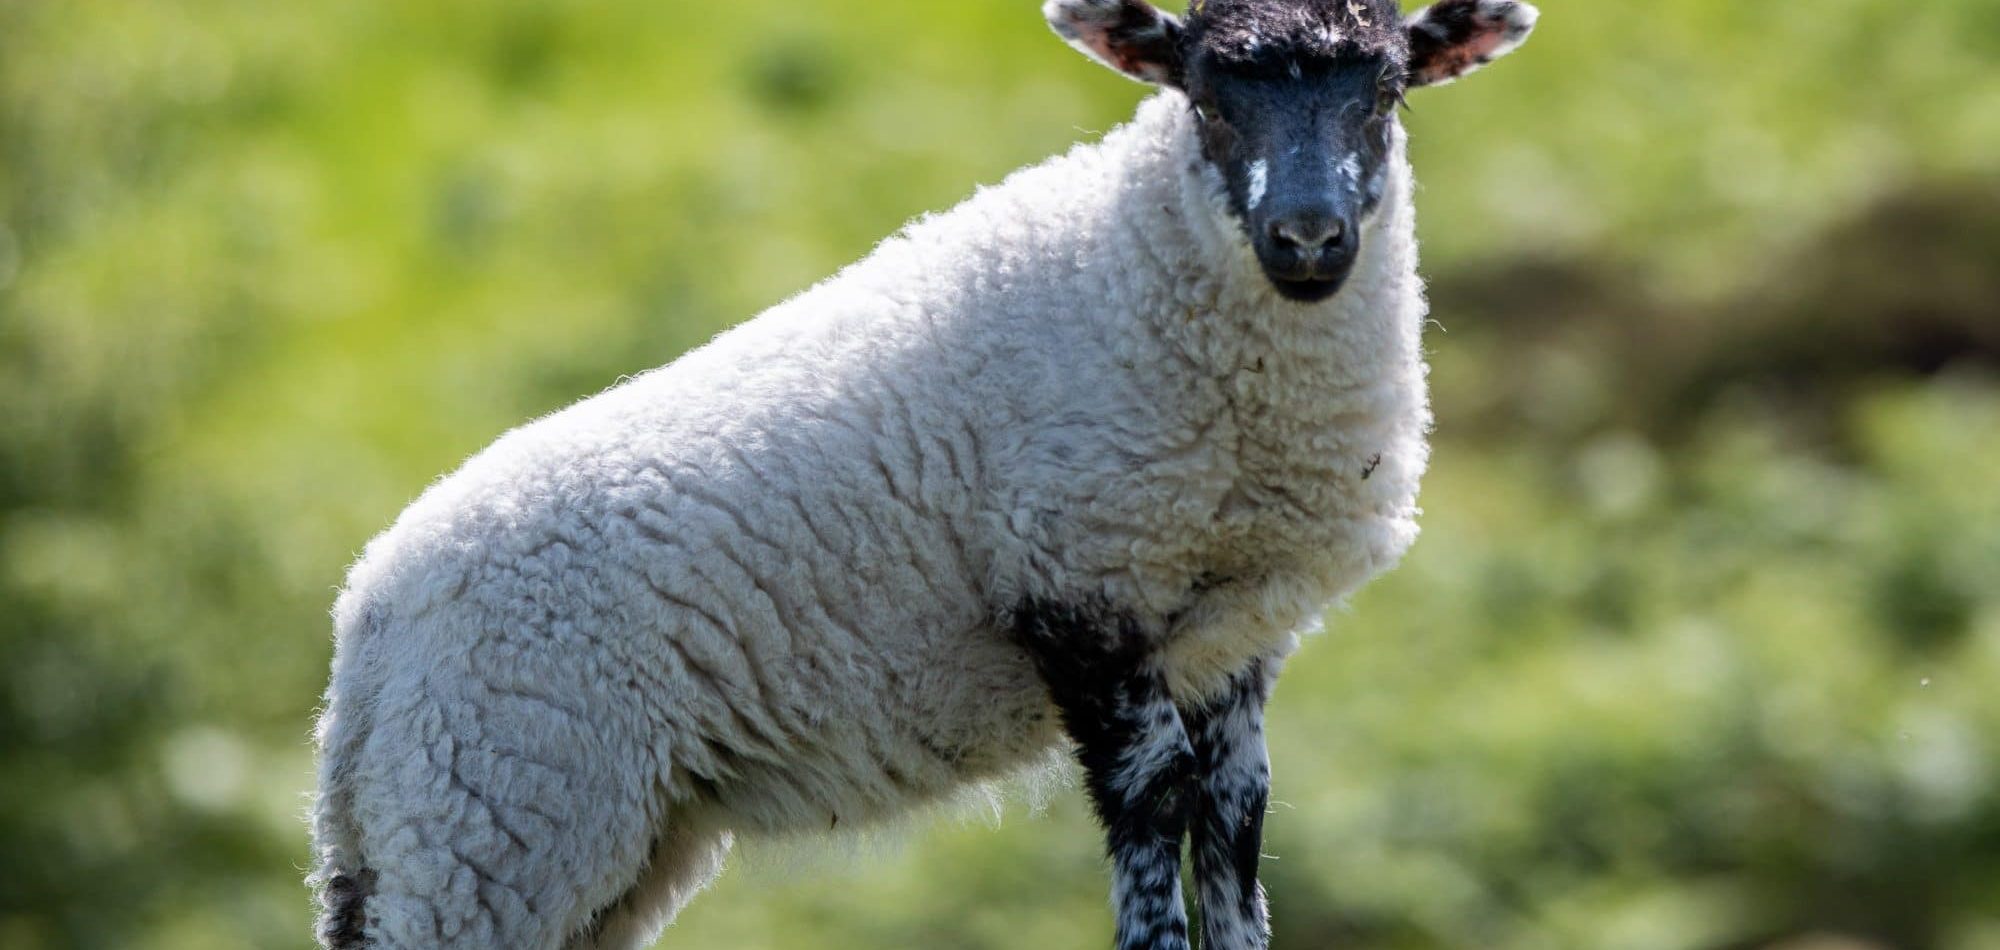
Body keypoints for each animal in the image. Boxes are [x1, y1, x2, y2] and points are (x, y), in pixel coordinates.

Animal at [308, 1, 1538, 947]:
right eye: (1206, 97)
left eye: (1385, 94)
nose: (1307, 239)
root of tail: (366, 623)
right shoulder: (1079, 587)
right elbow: (1151, 811)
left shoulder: (1234, 632)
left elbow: (1233, 824)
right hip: (499, 813)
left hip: (563, 835)